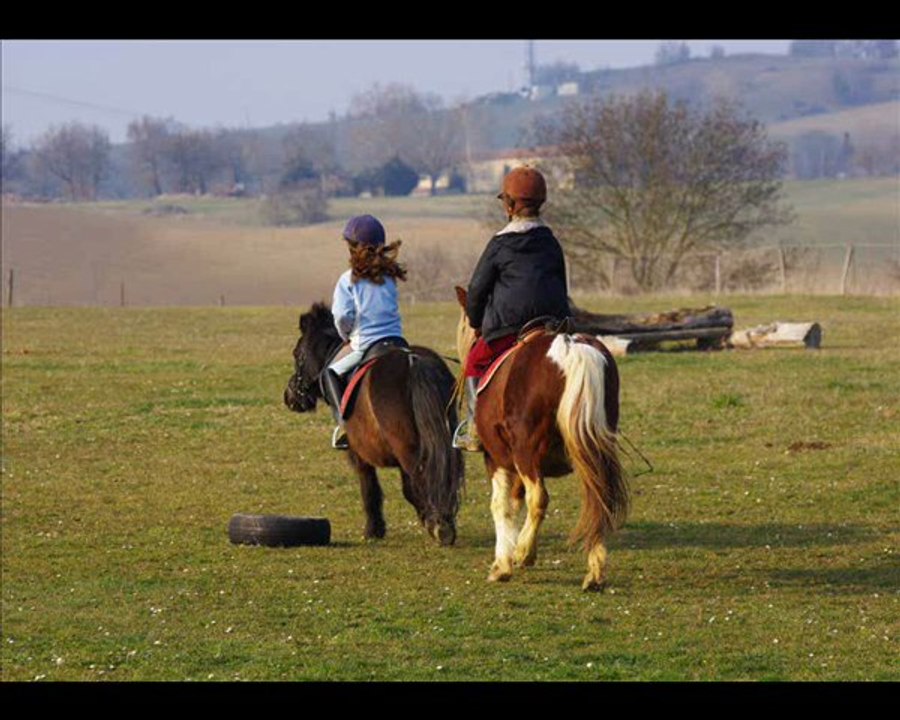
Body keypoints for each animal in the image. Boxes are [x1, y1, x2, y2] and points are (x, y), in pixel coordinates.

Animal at [284, 302, 464, 546]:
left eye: (296, 354)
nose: (289, 396)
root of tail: (413, 361)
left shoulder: (358, 452)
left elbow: (370, 488)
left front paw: (374, 529)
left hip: (407, 449)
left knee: (421, 478)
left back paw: (439, 524)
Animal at [454, 286, 628, 590]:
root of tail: (570, 348)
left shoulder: (497, 459)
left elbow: (501, 505)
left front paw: (503, 564)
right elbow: (514, 501)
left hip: (527, 451)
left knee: (539, 497)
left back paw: (525, 552)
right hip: (589, 449)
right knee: (598, 496)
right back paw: (594, 573)